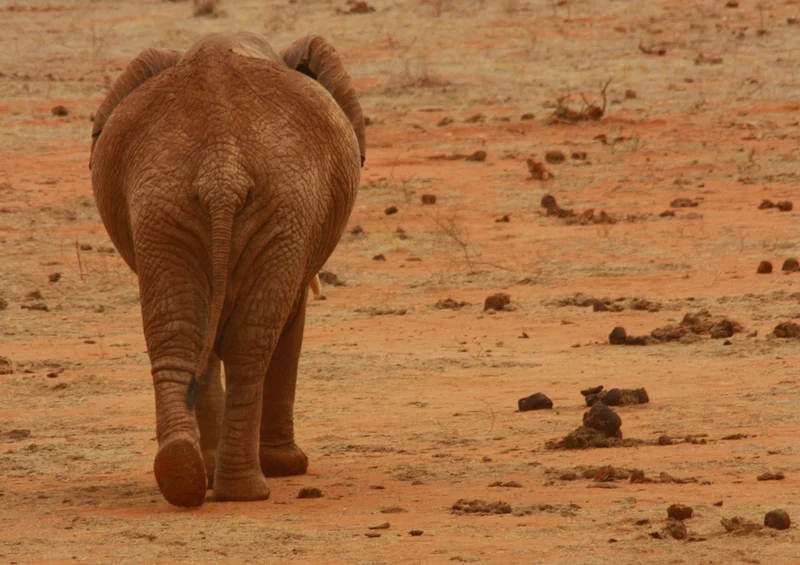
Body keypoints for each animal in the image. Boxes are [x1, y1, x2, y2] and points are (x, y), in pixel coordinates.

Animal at [89, 31, 365, 507]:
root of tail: (222, 167)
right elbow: (290, 320)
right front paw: (288, 467)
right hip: (281, 209)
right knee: (251, 342)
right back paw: (246, 488)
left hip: (165, 209)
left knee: (180, 331)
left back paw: (185, 475)